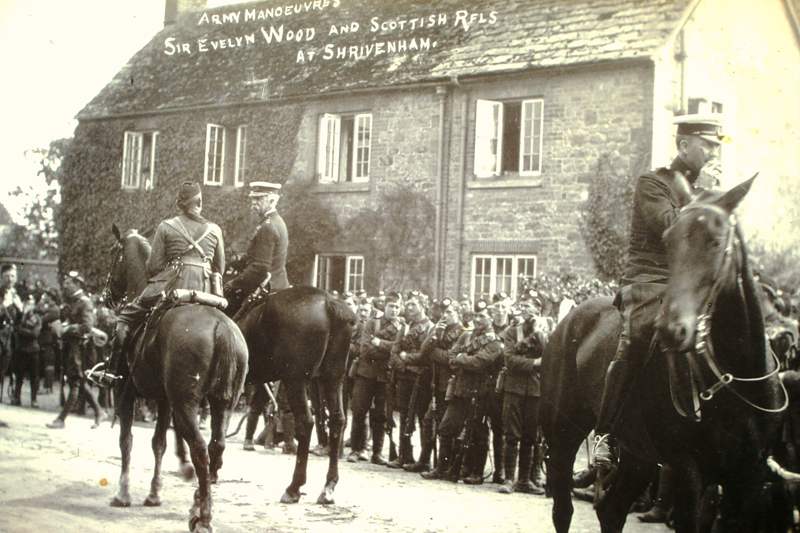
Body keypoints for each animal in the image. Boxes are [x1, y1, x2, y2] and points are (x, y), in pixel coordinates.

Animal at [104, 224, 247, 532]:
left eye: (114, 255)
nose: (106, 295)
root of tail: (220, 327)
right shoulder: (164, 400)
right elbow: (159, 443)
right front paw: (154, 493)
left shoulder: (126, 391)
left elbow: (126, 440)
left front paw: (123, 493)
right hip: (223, 403)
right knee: (216, 446)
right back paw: (198, 504)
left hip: (186, 404)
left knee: (200, 449)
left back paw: (203, 516)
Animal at [231, 282, 356, 502]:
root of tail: (329, 303)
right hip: (332, 378)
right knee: (337, 420)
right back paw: (328, 487)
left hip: (295, 379)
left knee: (305, 422)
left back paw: (294, 487)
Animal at [540, 176, 784, 532]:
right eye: (668, 241)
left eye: (716, 241)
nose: (672, 329)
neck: (736, 377)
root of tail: (566, 322)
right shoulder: (688, 472)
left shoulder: (748, 480)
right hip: (563, 435)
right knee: (563, 509)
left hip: (637, 454)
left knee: (611, 510)